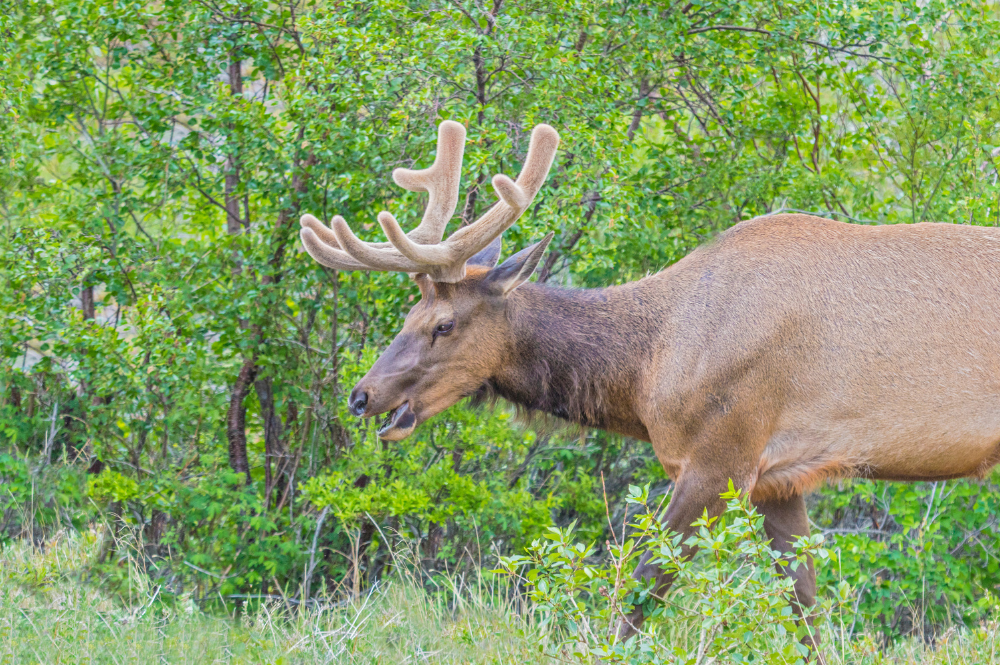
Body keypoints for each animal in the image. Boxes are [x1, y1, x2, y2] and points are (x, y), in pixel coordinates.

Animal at [298, 120, 1000, 650]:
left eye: (442, 324)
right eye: (405, 318)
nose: (362, 395)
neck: (647, 373)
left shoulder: (720, 455)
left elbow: (639, 590)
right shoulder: (778, 478)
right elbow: (804, 609)